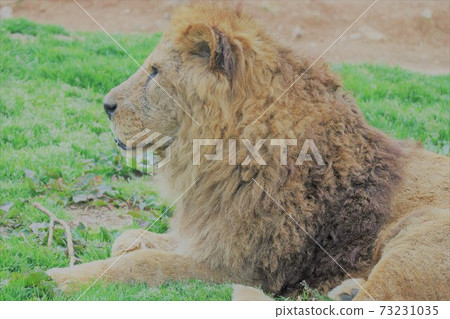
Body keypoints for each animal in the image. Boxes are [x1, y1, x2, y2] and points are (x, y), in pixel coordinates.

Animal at [46, 3, 450, 302]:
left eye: (156, 72)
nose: (106, 105)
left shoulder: (240, 267)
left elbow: (144, 264)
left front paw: (58, 278)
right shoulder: (208, 233)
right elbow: (133, 240)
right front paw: (129, 242)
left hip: (421, 240)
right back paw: (345, 290)